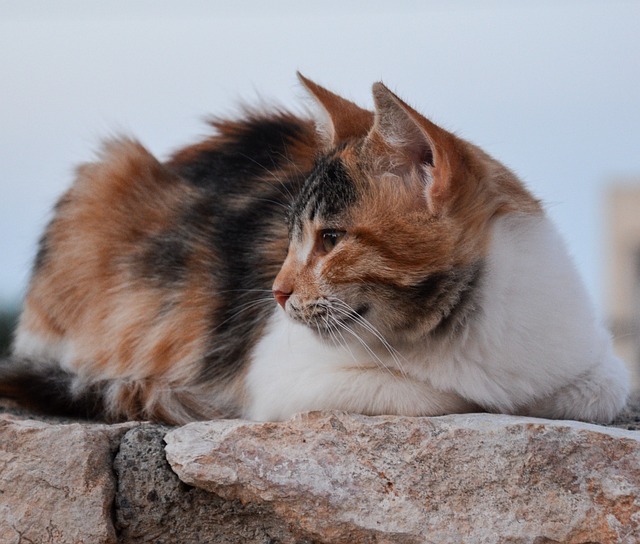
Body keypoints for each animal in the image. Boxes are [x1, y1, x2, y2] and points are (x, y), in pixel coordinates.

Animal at [1, 75, 632, 424]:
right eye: (290, 239)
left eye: (330, 239)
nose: (276, 292)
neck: (457, 329)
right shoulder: (281, 377)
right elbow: (433, 394)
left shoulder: (599, 367)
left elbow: (597, 390)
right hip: (106, 171)